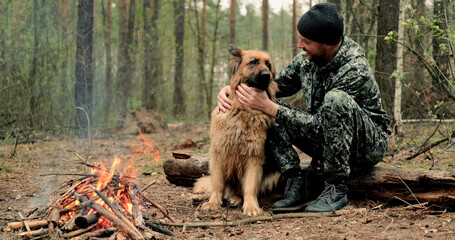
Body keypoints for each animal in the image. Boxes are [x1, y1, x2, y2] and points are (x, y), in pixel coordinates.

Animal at [195, 45, 282, 216]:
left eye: (268, 65)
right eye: (253, 62)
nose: (266, 75)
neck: (244, 110)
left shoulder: (254, 155)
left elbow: (250, 187)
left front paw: (251, 206)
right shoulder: (219, 152)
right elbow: (217, 184)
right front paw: (213, 202)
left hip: (275, 173)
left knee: (241, 191)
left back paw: (236, 199)